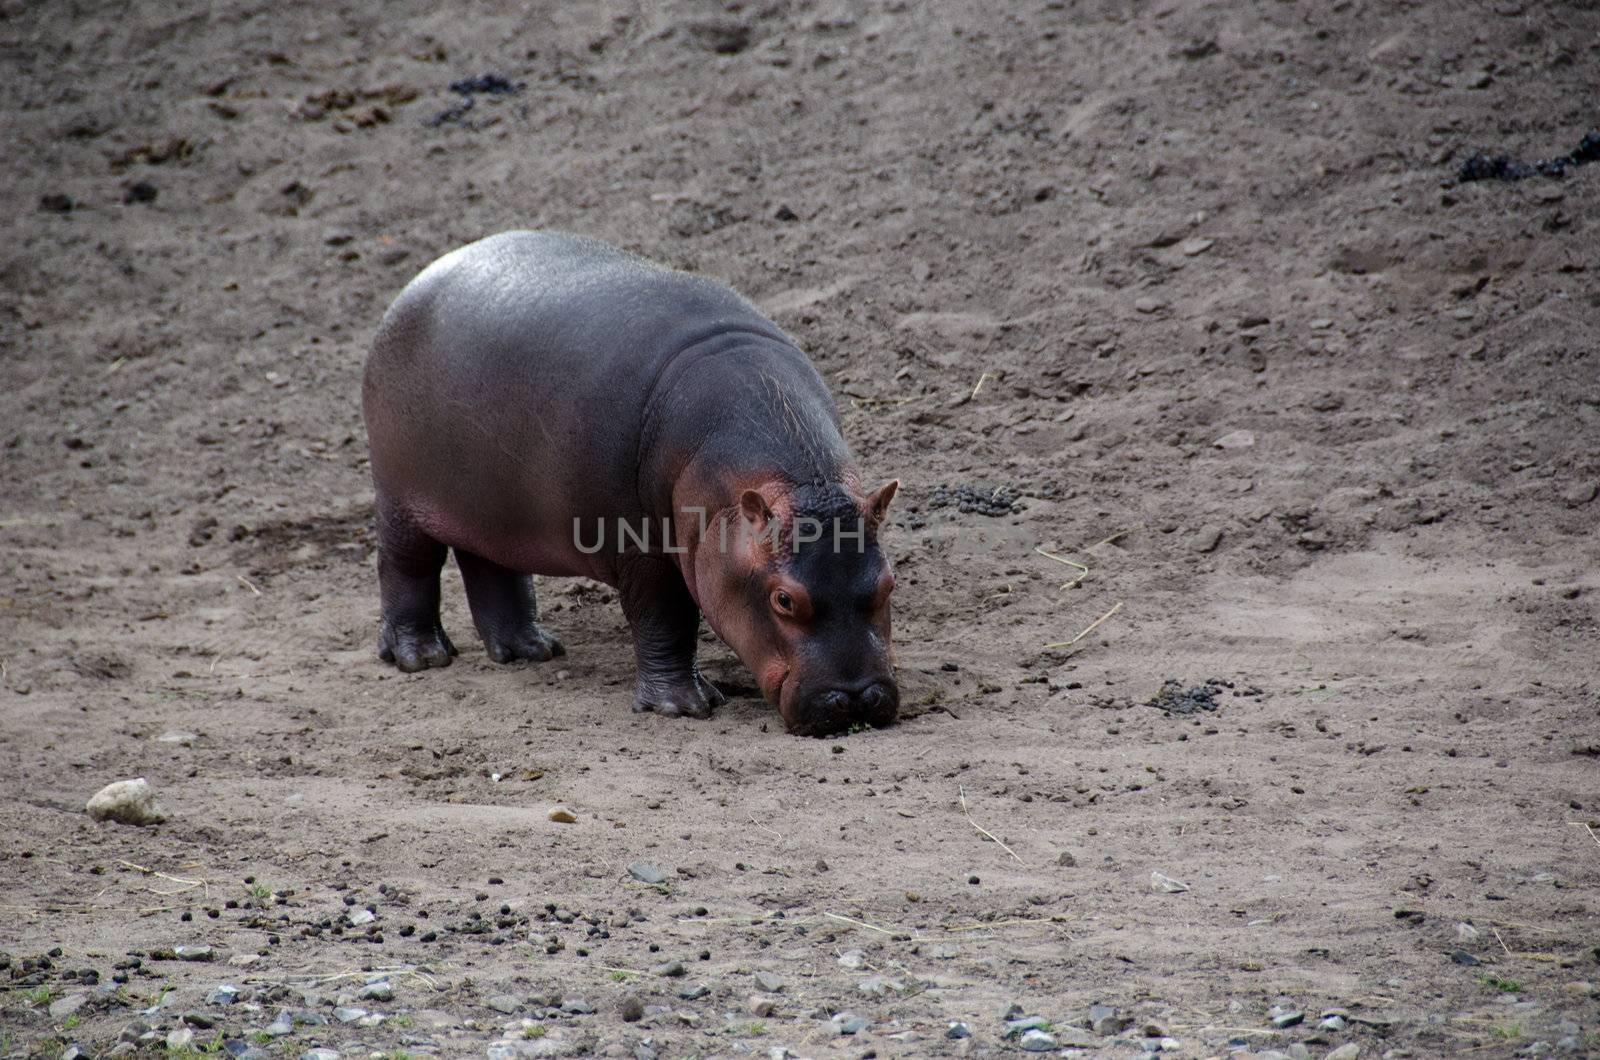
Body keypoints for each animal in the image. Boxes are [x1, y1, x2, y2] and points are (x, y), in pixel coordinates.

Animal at [364, 230, 908, 739]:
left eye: (888, 582)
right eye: (784, 600)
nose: (856, 700)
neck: (798, 483)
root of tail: (416, 283)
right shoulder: (641, 546)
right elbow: (664, 618)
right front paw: (683, 707)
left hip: (490, 507)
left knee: (492, 567)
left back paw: (531, 650)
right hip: (399, 498)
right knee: (406, 566)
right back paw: (422, 657)